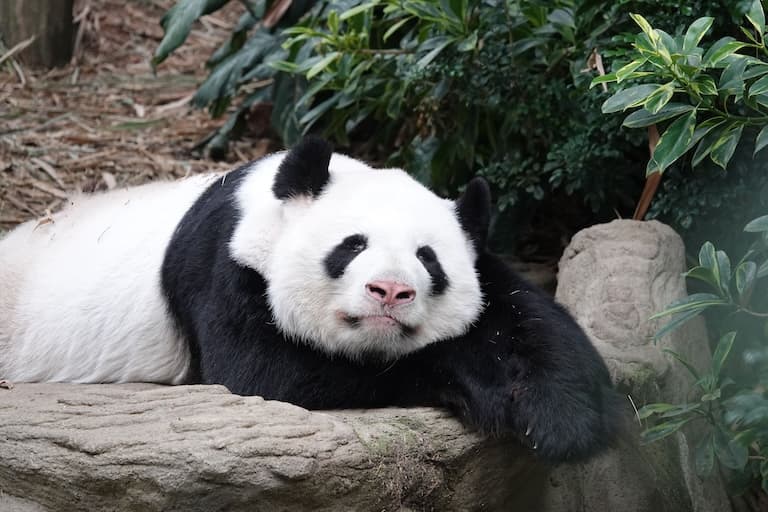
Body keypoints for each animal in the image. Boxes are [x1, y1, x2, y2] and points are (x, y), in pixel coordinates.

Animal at [0, 137, 621, 463]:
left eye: (428, 259)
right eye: (352, 245)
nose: (390, 291)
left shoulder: (484, 262)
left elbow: (530, 321)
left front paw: (562, 416)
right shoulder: (223, 264)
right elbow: (269, 372)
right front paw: (480, 390)